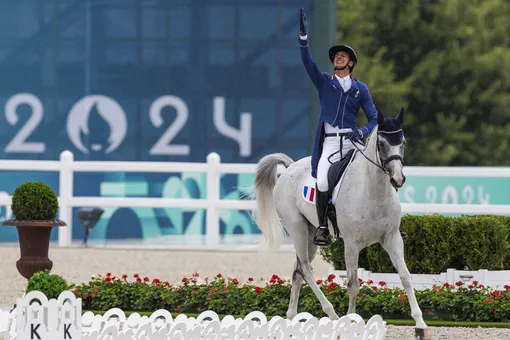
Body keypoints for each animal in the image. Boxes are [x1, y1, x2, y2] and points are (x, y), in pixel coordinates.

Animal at [253, 108, 428, 338]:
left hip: (309, 233)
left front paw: (420, 324)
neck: (373, 191)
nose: (398, 179)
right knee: (306, 269)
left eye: (403, 142)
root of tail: (290, 167)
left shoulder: (392, 239)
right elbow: (353, 285)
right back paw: (333, 316)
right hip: (297, 228)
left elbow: (406, 277)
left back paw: (291, 318)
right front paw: (350, 324)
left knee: (298, 269)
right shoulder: (351, 244)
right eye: (381, 143)